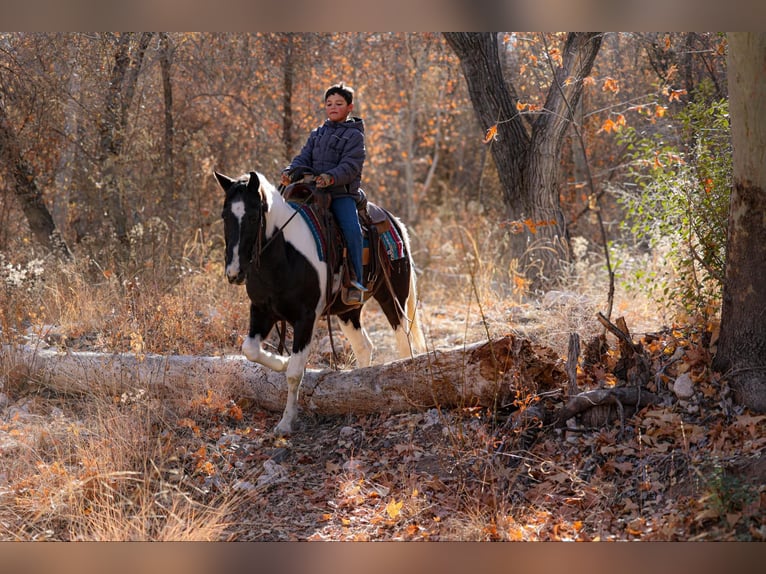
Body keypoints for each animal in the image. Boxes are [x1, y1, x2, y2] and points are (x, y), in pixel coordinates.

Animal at [215, 170, 425, 435]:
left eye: (253, 217)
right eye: (225, 216)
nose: (234, 273)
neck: (282, 257)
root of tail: (393, 221)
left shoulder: (306, 318)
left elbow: (295, 373)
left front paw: (286, 422)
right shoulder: (261, 311)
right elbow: (250, 350)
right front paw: (281, 361)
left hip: (393, 297)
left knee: (403, 340)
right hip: (348, 311)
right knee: (364, 347)